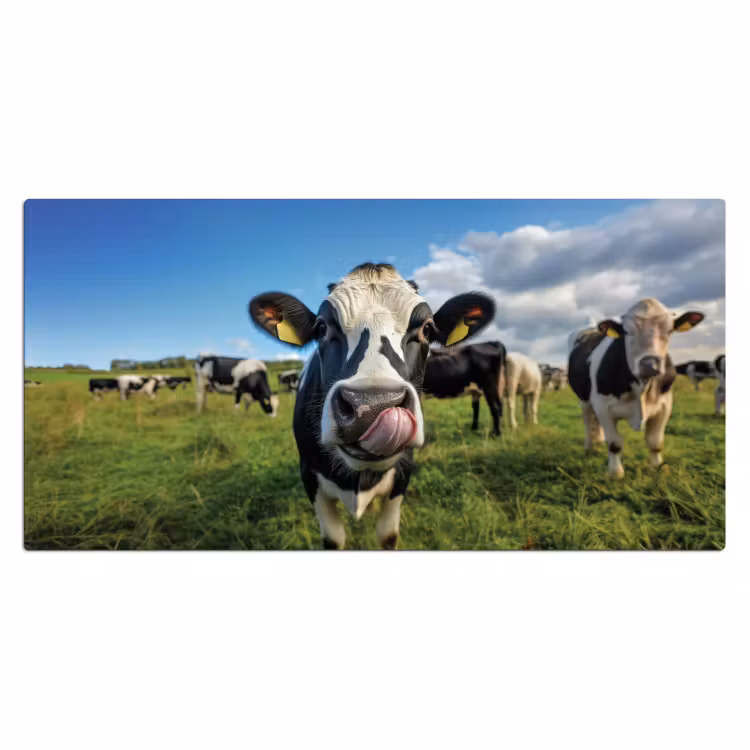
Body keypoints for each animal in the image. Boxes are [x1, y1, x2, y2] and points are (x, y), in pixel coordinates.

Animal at [249, 262, 495, 550]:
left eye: (427, 329)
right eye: (321, 328)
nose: (372, 407)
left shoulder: (403, 473)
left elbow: (387, 535)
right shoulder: (309, 475)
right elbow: (333, 539)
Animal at [567, 298, 704, 478]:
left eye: (669, 330)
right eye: (626, 331)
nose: (649, 364)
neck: (642, 387)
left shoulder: (665, 405)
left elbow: (655, 441)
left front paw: (657, 466)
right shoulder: (603, 406)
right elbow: (615, 443)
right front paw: (615, 473)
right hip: (584, 398)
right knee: (588, 419)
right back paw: (590, 446)